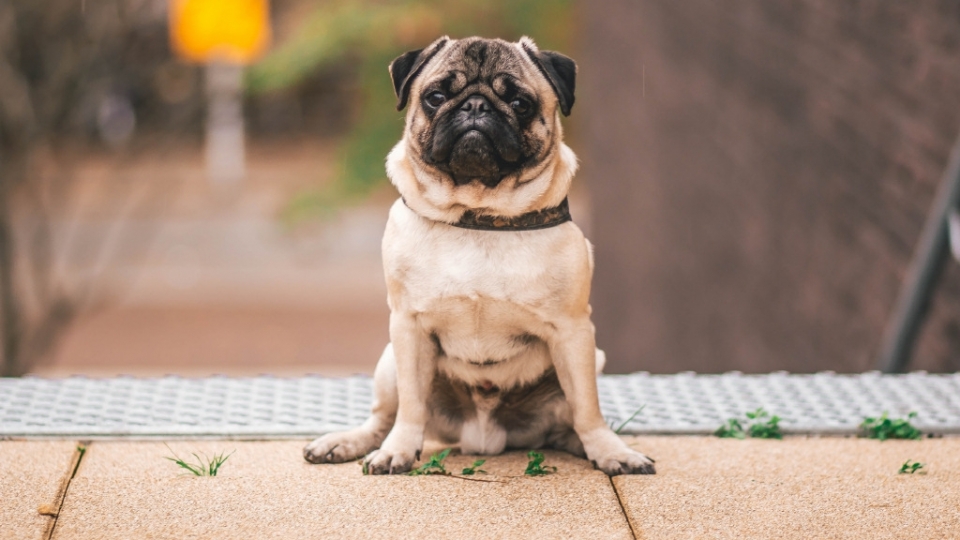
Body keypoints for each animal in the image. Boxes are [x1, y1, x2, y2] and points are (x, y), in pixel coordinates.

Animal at [304, 35, 656, 474]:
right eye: (436, 97)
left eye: (520, 104)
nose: (475, 106)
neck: (479, 215)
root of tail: (483, 437)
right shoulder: (407, 327)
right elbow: (411, 406)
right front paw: (398, 449)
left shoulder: (573, 331)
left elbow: (589, 408)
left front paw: (610, 451)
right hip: (387, 361)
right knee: (383, 417)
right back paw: (348, 442)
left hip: (593, 358)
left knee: (570, 421)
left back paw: (592, 445)